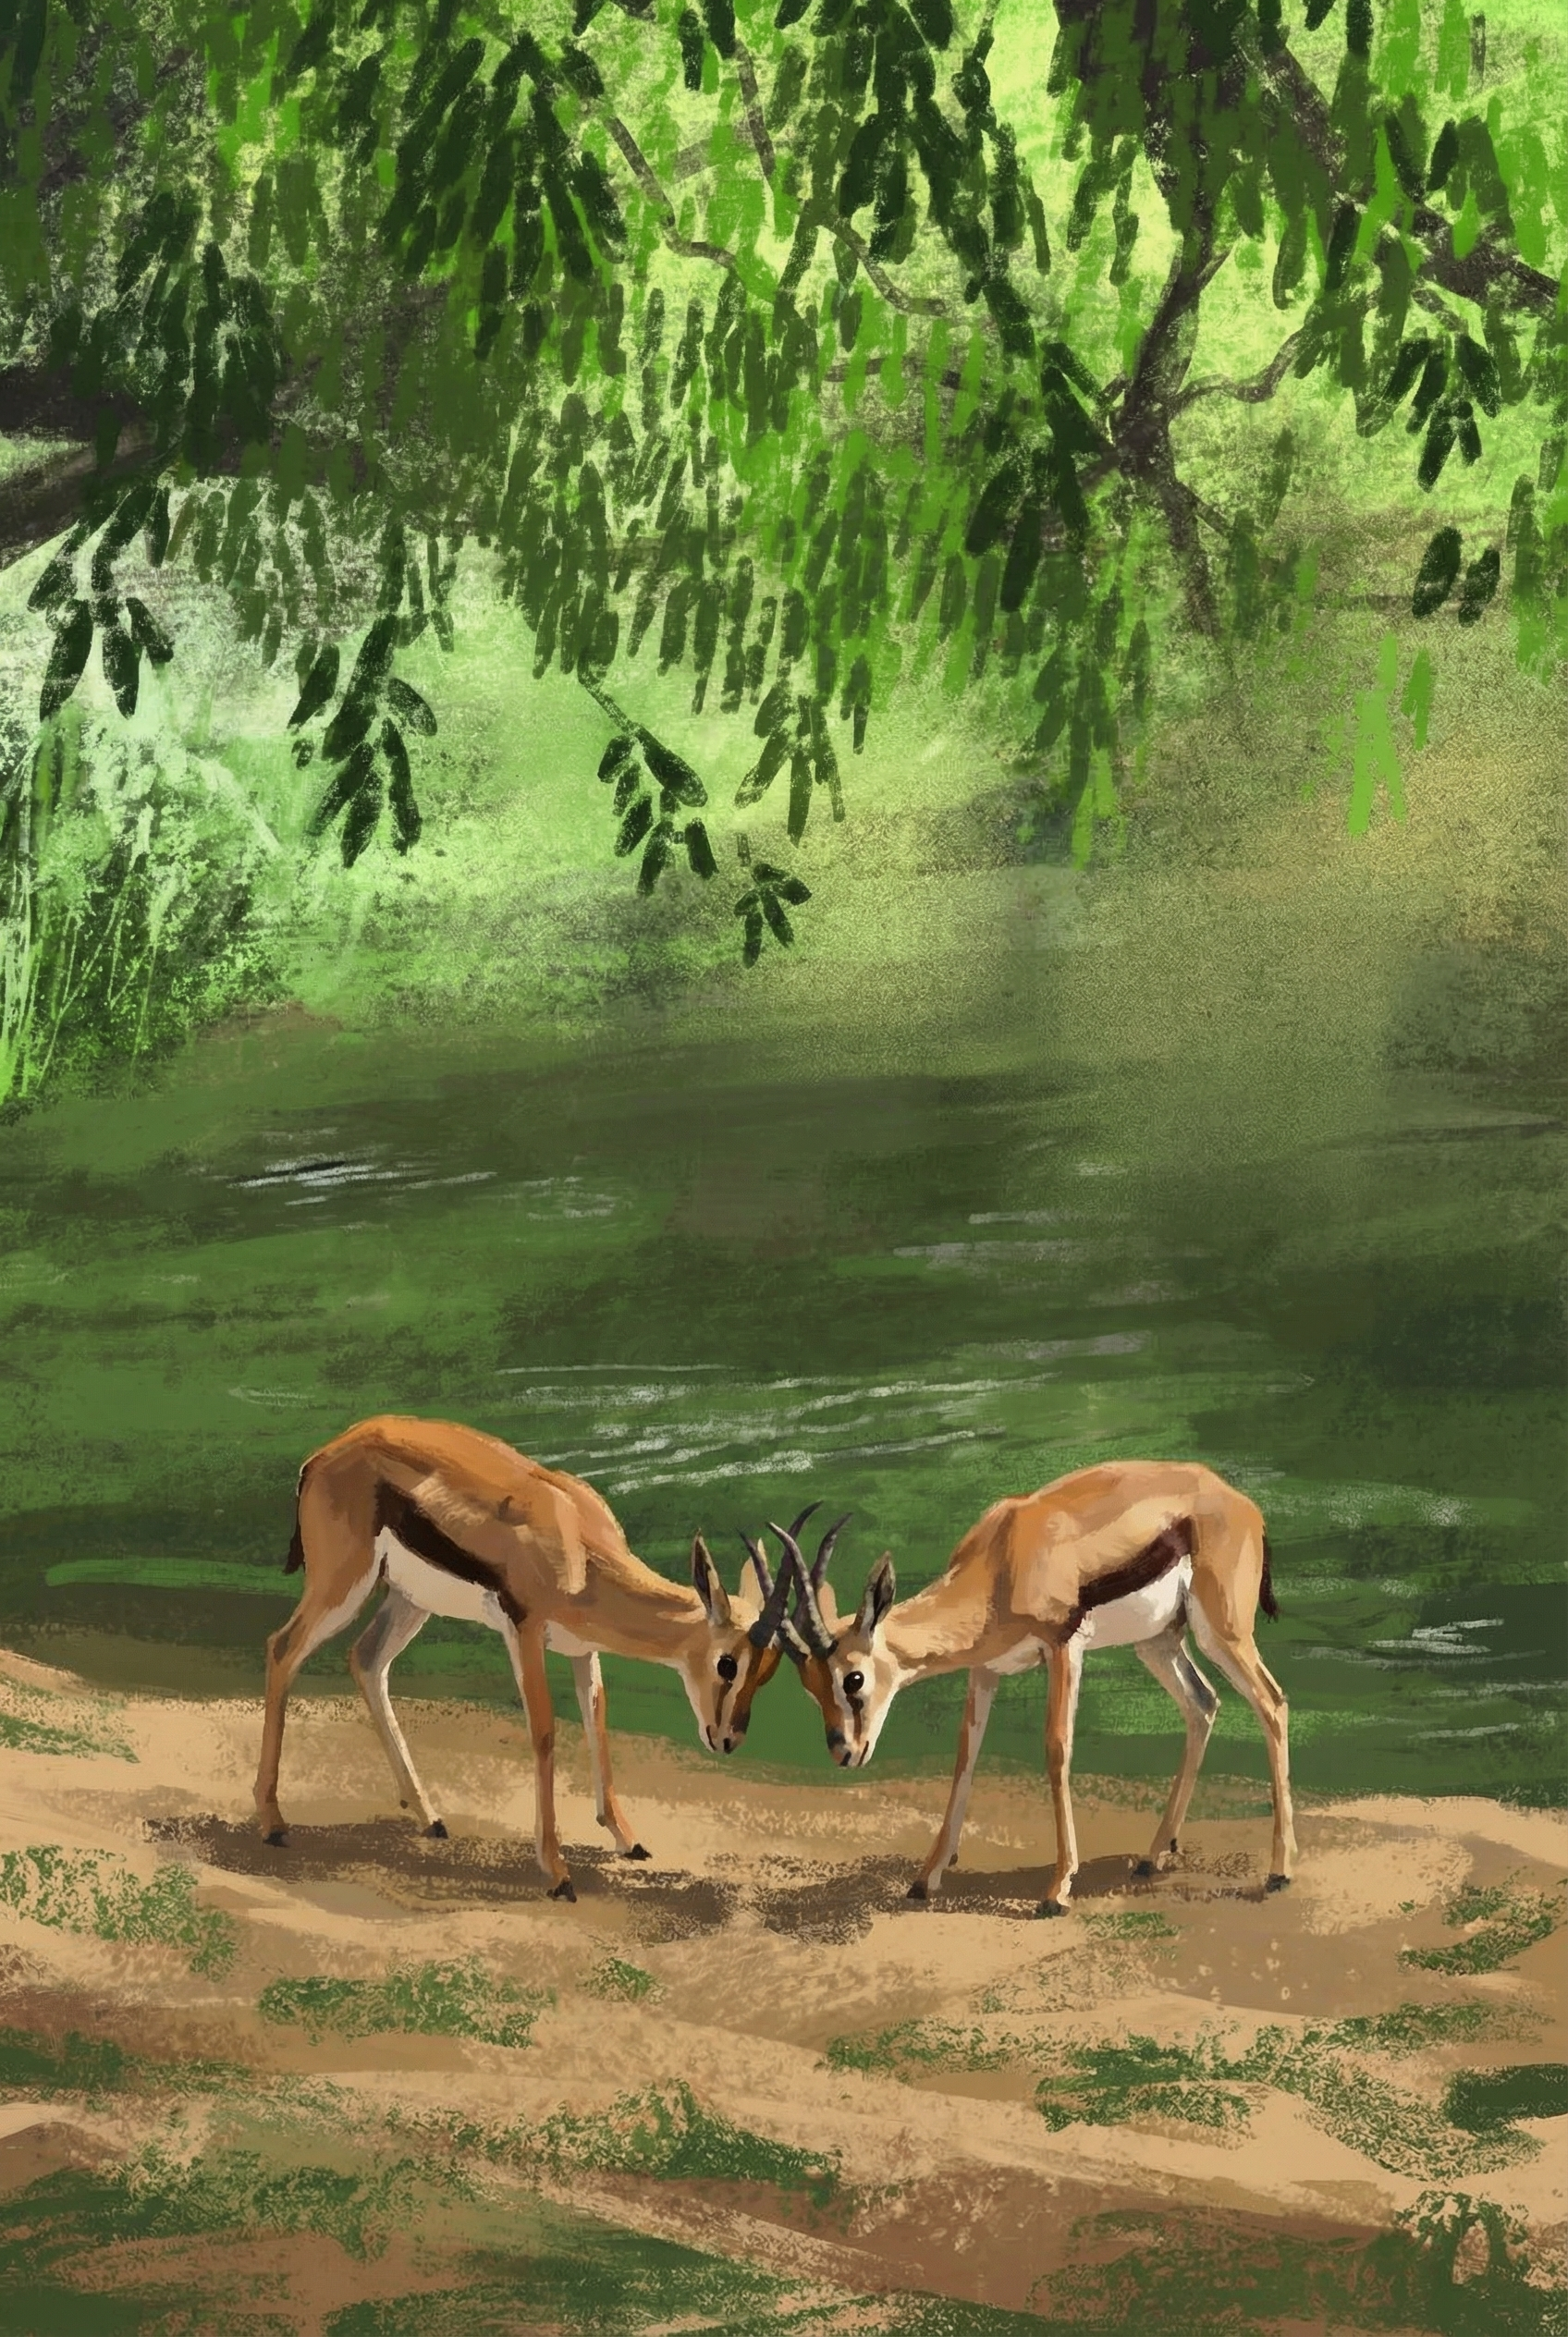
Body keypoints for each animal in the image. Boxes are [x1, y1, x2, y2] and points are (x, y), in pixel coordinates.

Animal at [253, 1415, 798, 1900]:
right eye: (728, 1663)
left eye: (769, 1670)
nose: (727, 1739)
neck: (579, 1546)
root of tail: (322, 1456)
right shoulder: (525, 1630)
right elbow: (544, 1731)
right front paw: (558, 1874)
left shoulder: (583, 1648)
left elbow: (597, 1720)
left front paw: (628, 1840)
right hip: (343, 1582)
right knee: (282, 1647)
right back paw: (273, 1824)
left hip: (410, 1599)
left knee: (366, 1660)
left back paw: (430, 1818)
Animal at [774, 1461, 1294, 1916]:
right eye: (808, 1686)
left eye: (853, 1678)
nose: (845, 1751)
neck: (1002, 1559)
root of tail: (1240, 1501)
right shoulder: (985, 1670)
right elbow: (965, 1756)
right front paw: (925, 1879)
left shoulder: (1063, 1647)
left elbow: (1057, 1749)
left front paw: (1057, 1891)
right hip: (1157, 1642)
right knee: (1202, 1704)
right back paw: (1151, 1858)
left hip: (1222, 1632)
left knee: (1273, 1702)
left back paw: (1278, 1872)